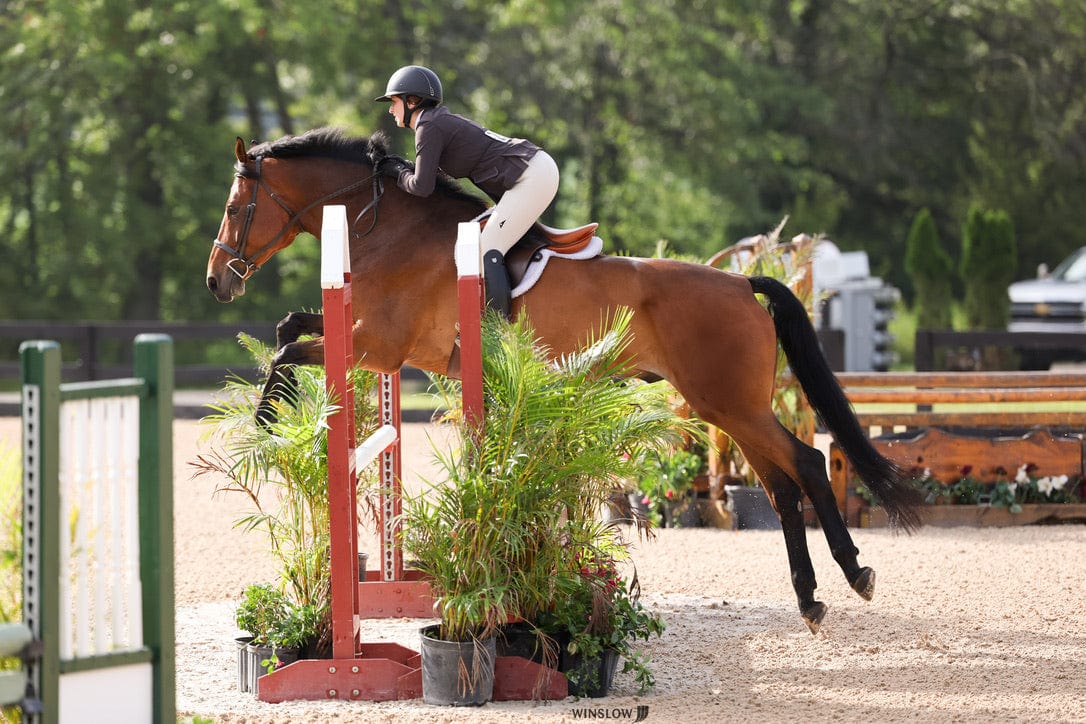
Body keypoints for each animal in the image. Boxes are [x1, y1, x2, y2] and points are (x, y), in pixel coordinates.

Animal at [207, 127, 920, 638]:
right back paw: (812, 598)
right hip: (725, 407)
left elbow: (290, 347)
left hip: (729, 402)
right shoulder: (372, 344)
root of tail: (743, 282)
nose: (218, 282)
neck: (387, 226)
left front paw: (264, 422)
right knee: (779, 486)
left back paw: (854, 575)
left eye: (236, 207)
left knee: (805, 463)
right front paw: (271, 416)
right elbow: (289, 329)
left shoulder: (378, 345)